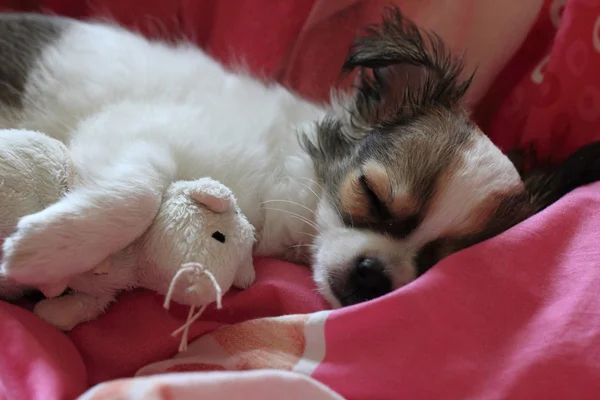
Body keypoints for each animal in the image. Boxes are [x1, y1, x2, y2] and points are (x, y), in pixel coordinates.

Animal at [0, 7, 596, 312]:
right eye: (370, 193)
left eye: (438, 263)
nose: (373, 275)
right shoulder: (130, 128)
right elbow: (139, 193)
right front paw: (47, 250)